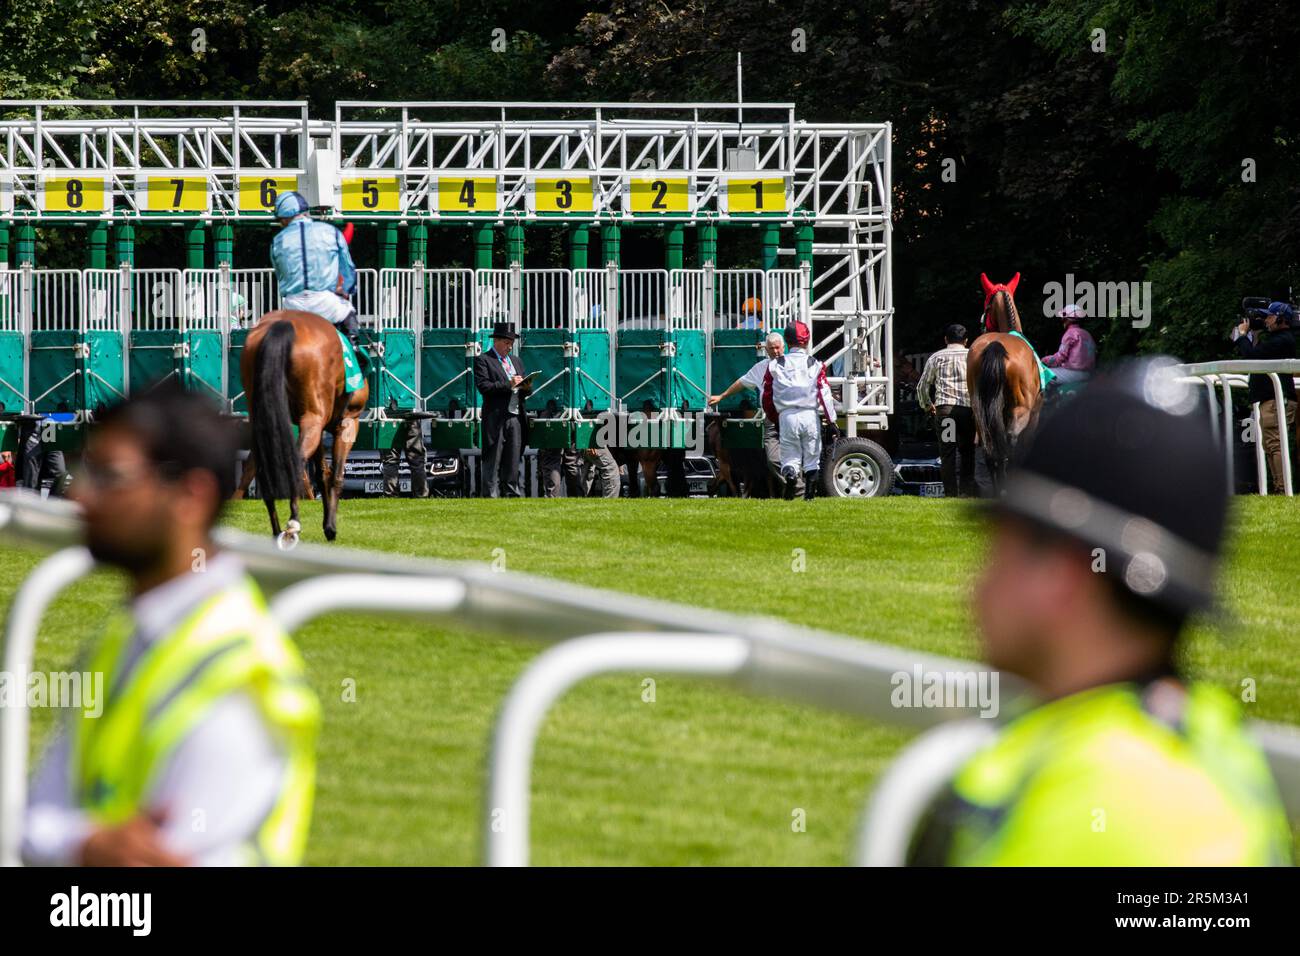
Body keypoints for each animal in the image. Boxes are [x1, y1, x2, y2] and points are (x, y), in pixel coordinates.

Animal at [240, 310, 369, 541]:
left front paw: (327, 524)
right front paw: (331, 527)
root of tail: (282, 324)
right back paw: (293, 524)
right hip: (313, 418)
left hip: (262, 418)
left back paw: (276, 529)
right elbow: (336, 475)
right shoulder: (348, 423)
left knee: (260, 467)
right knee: (296, 461)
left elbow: (322, 473)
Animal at [967, 270, 1045, 489]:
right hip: (1020, 409)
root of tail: (995, 344)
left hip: (980, 411)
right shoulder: (1034, 414)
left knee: (989, 447)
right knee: (1011, 440)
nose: (983, 326)